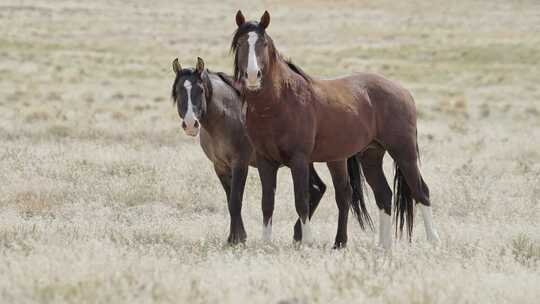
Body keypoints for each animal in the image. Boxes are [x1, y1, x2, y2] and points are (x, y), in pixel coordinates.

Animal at [173, 56, 372, 245]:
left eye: (200, 90)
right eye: (178, 91)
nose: (190, 124)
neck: (228, 115)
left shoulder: (240, 164)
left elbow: (235, 200)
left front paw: (237, 239)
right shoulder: (220, 166)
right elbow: (230, 199)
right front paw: (236, 237)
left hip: (334, 159)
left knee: (342, 194)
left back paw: (337, 241)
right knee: (317, 188)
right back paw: (298, 234)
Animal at [231, 11, 438, 249]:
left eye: (263, 43)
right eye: (240, 43)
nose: (252, 75)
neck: (278, 102)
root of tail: (403, 91)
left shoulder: (299, 160)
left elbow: (301, 201)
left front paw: (306, 243)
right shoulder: (265, 161)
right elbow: (267, 203)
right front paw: (266, 244)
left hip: (404, 152)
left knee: (421, 191)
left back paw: (433, 241)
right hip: (371, 156)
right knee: (384, 195)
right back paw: (383, 247)